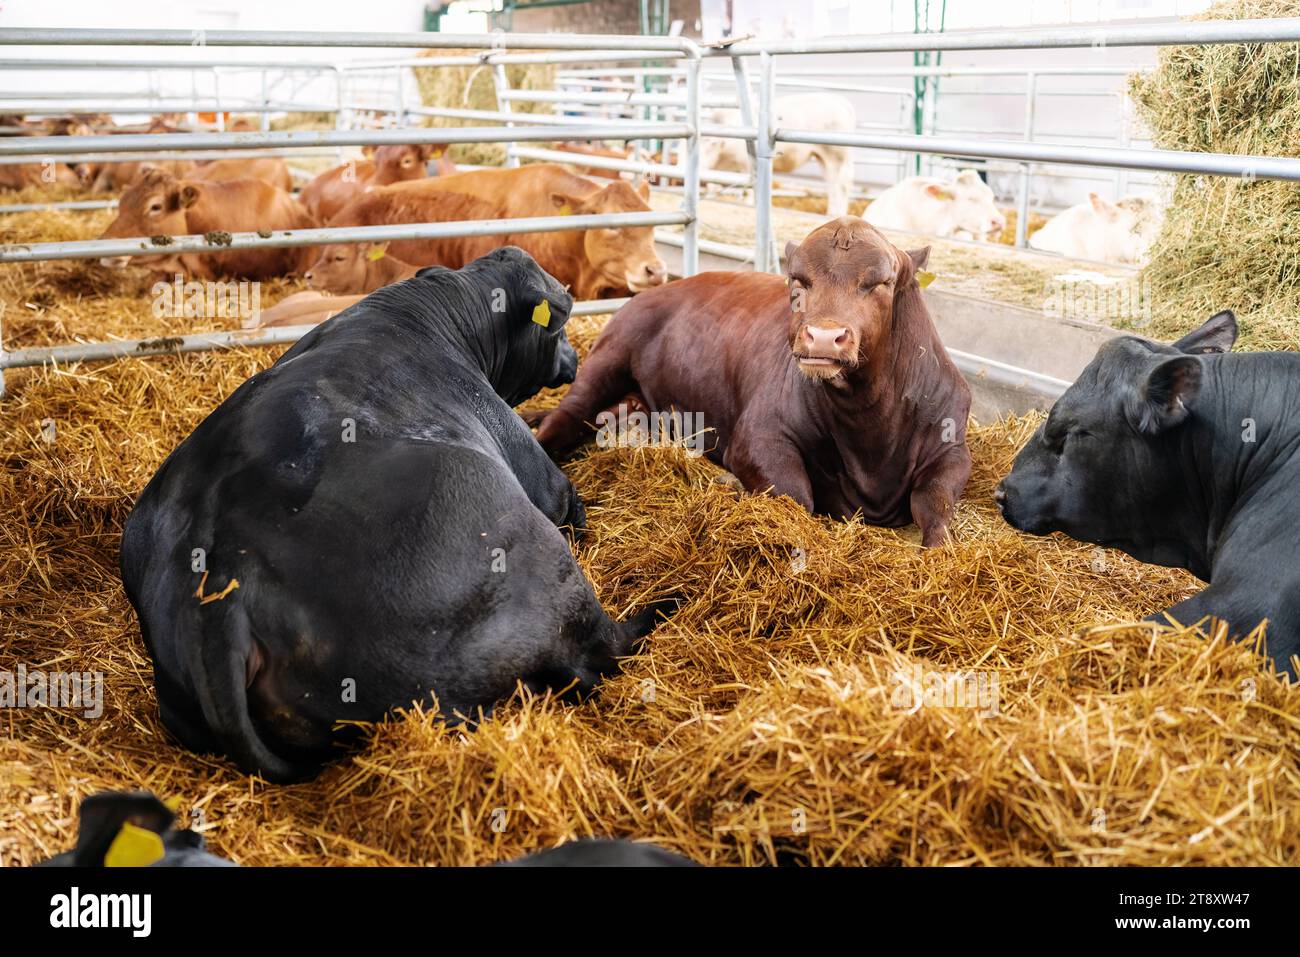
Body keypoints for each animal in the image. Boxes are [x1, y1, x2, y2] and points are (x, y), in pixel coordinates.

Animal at [119, 247, 674, 781]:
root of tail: (222, 578)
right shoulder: (540, 475)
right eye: (558, 323)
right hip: (528, 556)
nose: (575, 355)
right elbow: (570, 503)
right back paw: (666, 604)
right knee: (598, 649)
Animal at [534, 217, 972, 546]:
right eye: (798, 280)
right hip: (607, 359)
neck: (869, 428)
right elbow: (796, 495)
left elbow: (935, 503)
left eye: (880, 282)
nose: (823, 336)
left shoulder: (953, 448)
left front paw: (940, 548)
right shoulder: (757, 438)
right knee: (561, 420)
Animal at [701, 93, 857, 217]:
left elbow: (748, 190)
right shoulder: (717, 169)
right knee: (832, 185)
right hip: (824, 158)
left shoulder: (746, 165)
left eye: (713, 143)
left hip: (836, 155)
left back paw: (835, 214)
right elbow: (712, 186)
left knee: (841, 185)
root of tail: (840, 100)